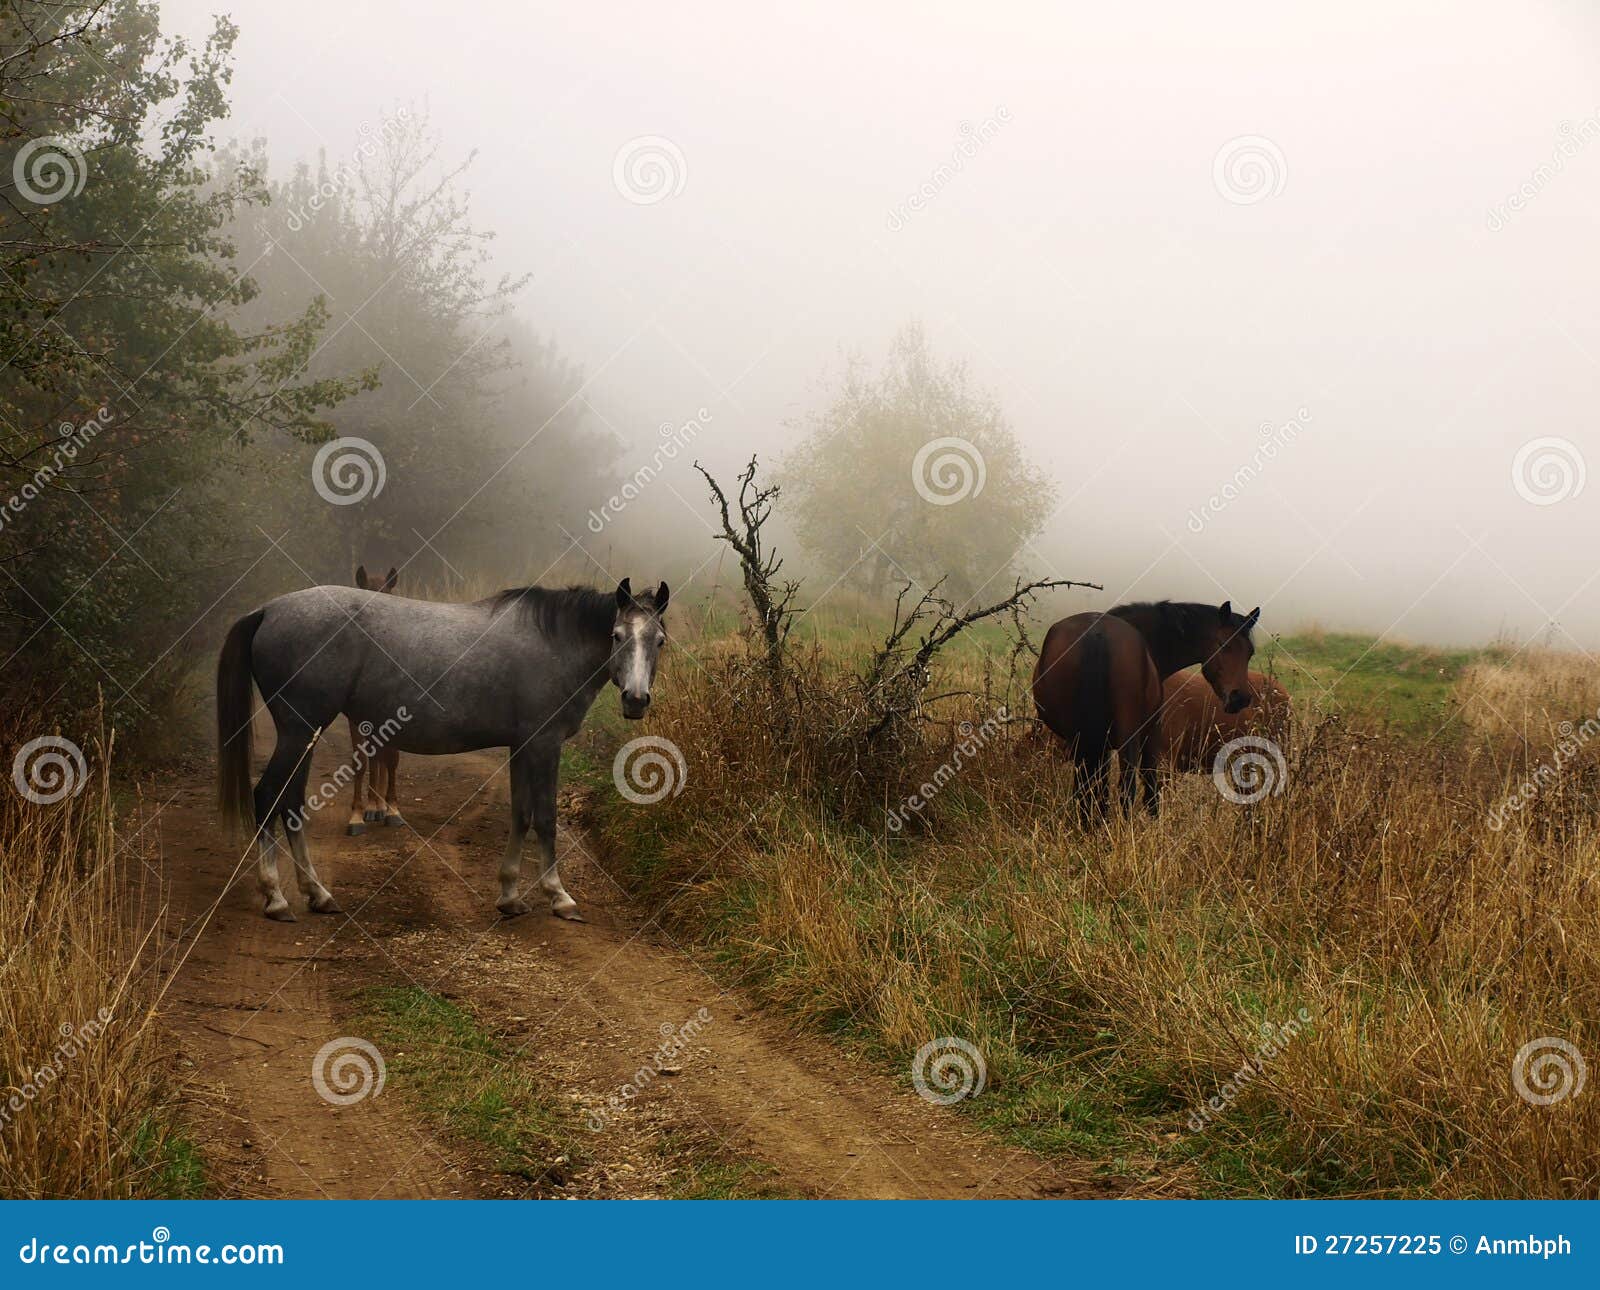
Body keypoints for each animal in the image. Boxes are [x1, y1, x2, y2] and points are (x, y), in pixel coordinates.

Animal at [217, 577, 669, 922]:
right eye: (616, 636)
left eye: (659, 641)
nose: (635, 700)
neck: (553, 643)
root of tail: (268, 610)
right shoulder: (544, 745)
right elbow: (545, 818)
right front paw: (559, 897)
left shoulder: (522, 746)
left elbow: (521, 814)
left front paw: (509, 895)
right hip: (299, 732)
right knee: (268, 797)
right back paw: (276, 899)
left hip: (304, 734)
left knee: (291, 802)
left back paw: (317, 893)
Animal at [1032, 600, 1260, 815]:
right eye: (1223, 645)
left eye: (1250, 652)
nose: (1240, 698)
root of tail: (1098, 635)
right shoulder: (1151, 739)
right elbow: (1151, 792)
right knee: (1125, 790)